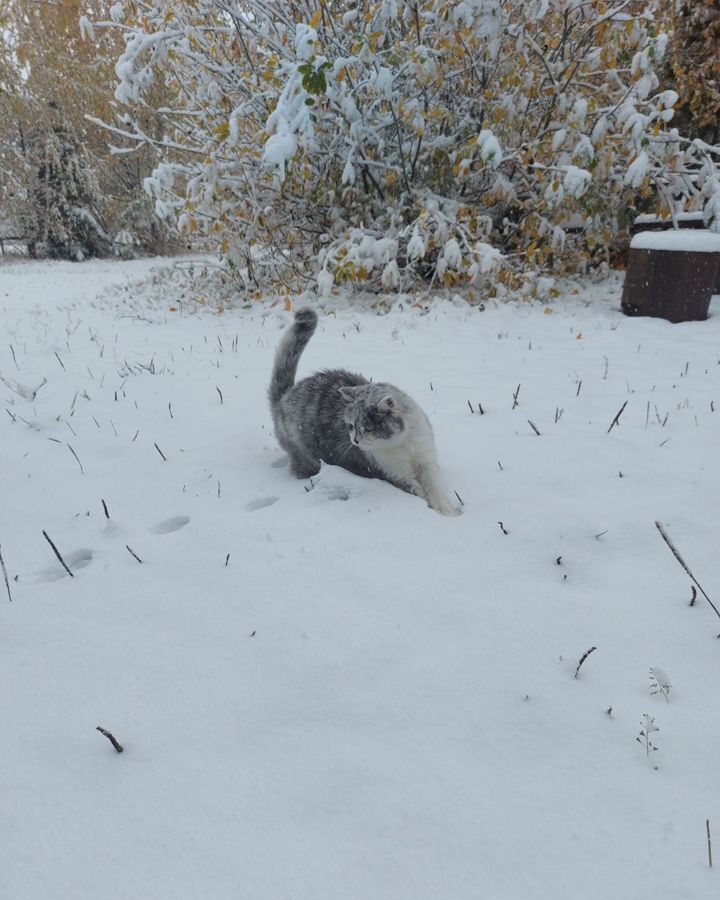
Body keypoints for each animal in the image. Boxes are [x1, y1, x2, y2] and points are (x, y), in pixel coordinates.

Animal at [268, 310, 458, 516]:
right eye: (351, 426)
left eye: (368, 428)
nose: (355, 441)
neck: (402, 445)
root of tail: (285, 395)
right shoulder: (396, 474)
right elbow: (418, 492)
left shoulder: (426, 462)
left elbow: (435, 487)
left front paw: (446, 510)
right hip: (306, 456)